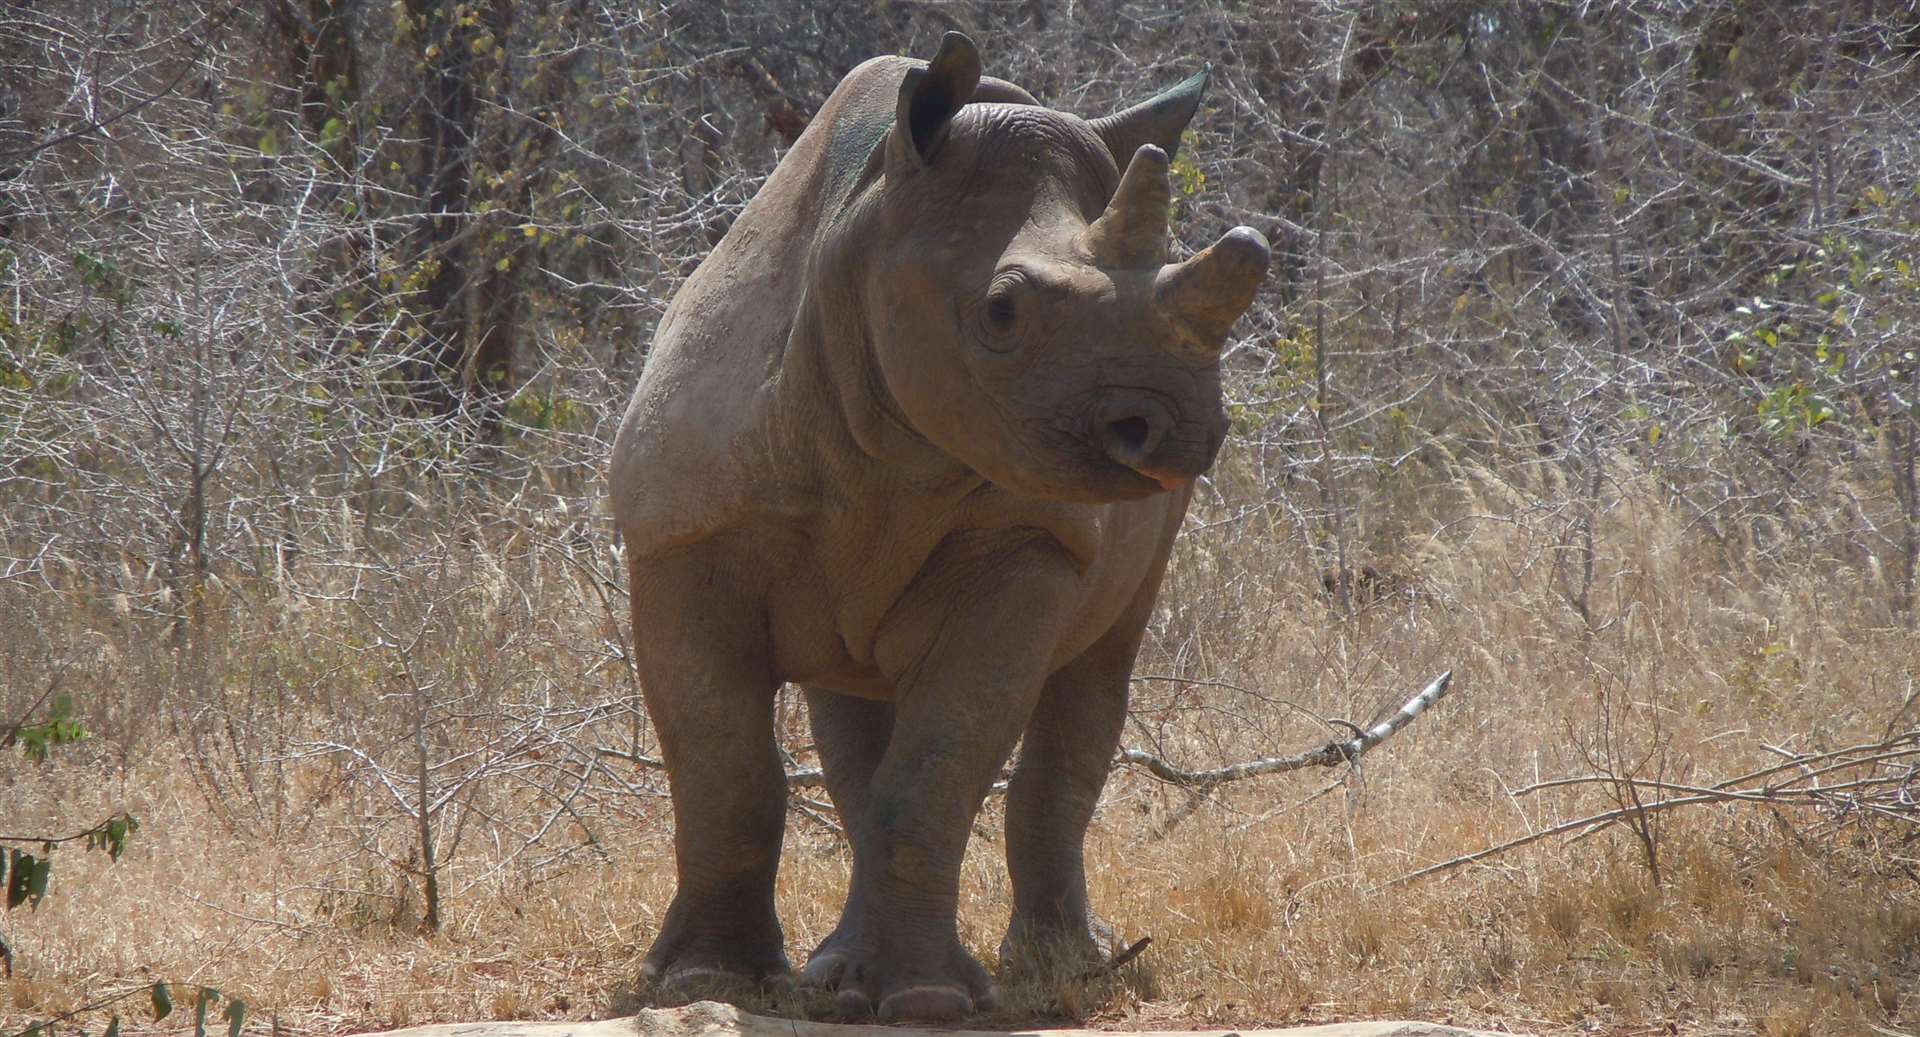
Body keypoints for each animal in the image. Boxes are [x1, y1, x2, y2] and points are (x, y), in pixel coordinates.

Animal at [614, 30, 1267, 1021]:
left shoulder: (1030, 546)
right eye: (1001, 310)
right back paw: (838, 974)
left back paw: (1059, 964)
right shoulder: (681, 540)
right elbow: (725, 768)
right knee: (852, 710)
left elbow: (936, 765)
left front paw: (926, 1000)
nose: (1182, 427)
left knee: (1098, 663)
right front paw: (705, 979)